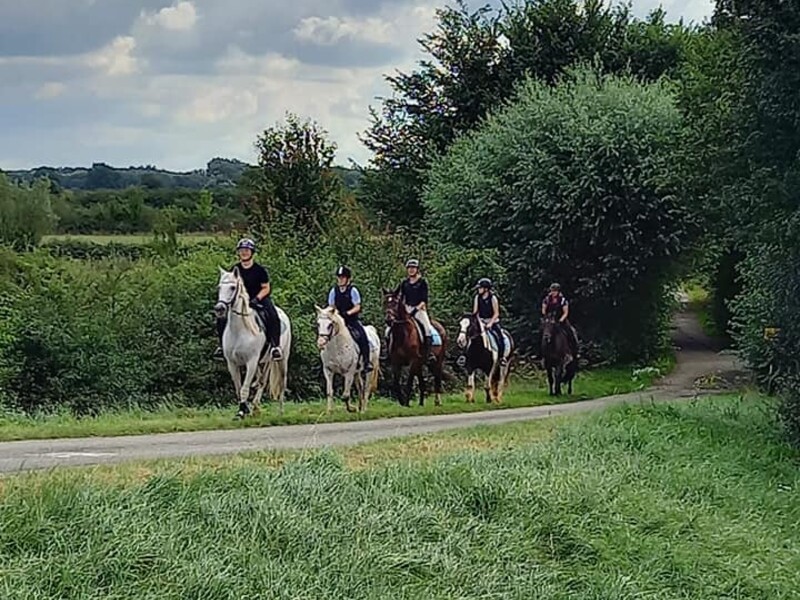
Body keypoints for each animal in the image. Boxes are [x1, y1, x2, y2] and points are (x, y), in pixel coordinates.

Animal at [214, 268, 292, 418]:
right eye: (220, 287)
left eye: (233, 287)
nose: (219, 309)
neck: (239, 330)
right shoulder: (232, 363)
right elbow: (239, 389)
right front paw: (244, 409)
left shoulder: (251, 362)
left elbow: (244, 388)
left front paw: (241, 412)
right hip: (264, 362)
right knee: (262, 381)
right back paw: (255, 407)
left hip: (282, 359)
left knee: (281, 382)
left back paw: (280, 411)